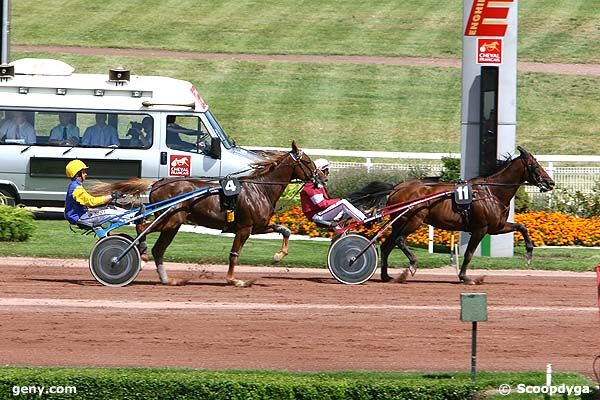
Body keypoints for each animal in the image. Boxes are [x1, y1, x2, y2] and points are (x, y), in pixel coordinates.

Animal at [104, 142, 318, 286]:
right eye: (308, 161)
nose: (321, 176)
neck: (260, 189)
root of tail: (157, 183)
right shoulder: (244, 228)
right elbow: (234, 254)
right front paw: (233, 280)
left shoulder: (258, 226)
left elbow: (285, 230)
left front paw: (277, 256)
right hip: (171, 218)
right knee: (142, 226)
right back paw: (138, 253)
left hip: (173, 223)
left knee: (158, 248)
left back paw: (166, 278)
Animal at [352, 147, 552, 284]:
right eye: (535, 165)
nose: (551, 182)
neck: (492, 191)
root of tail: (397, 187)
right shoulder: (481, 228)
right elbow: (469, 253)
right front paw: (465, 277)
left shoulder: (497, 227)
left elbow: (522, 227)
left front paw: (529, 253)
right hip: (414, 219)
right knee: (399, 240)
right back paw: (410, 263)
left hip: (400, 221)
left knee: (387, 245)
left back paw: (387, 276)